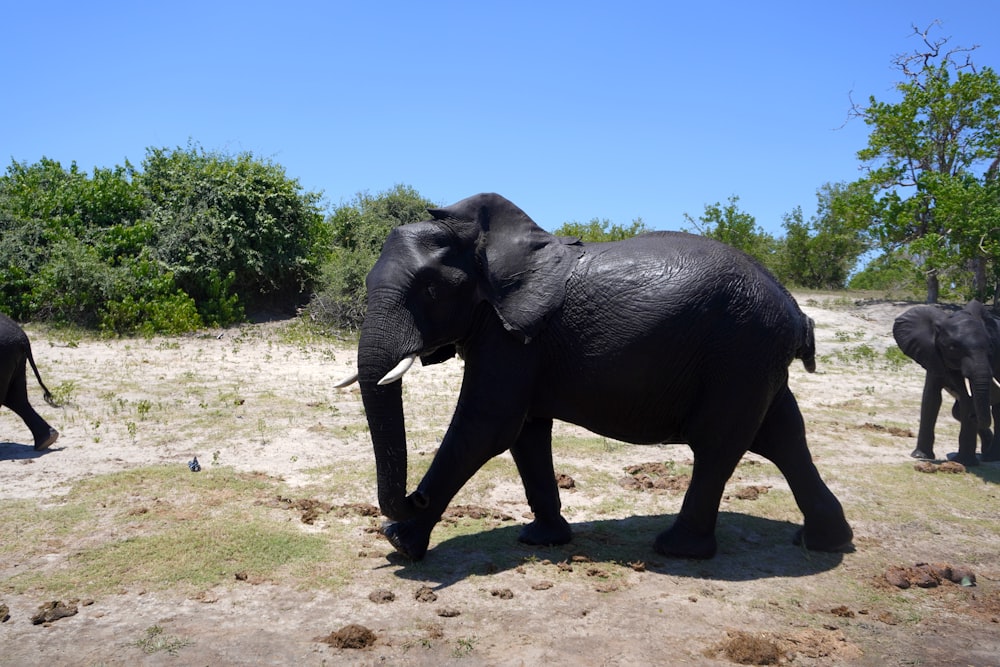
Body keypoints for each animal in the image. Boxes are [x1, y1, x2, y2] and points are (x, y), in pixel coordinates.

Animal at [336, 194, 852, 564]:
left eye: (430, 289)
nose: (415, 498)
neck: (482, 244)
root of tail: (795, 310)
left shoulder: (512, 335)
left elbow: (487, 425)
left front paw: (400, 543)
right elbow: (525, 432)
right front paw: (542, 541)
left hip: (739, 352)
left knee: (720, 444)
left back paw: (677, 550)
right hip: (755, 360)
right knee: (783, 435)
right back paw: (824, 542)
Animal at [892, 300, 1000, 468]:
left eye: (990, 347)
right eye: (952, 347)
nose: (974, 417)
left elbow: (967, 400)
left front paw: (964, 463)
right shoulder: (931, 354)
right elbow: (932, 398)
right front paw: (920, 456)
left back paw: (990, 456)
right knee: (958, 411)